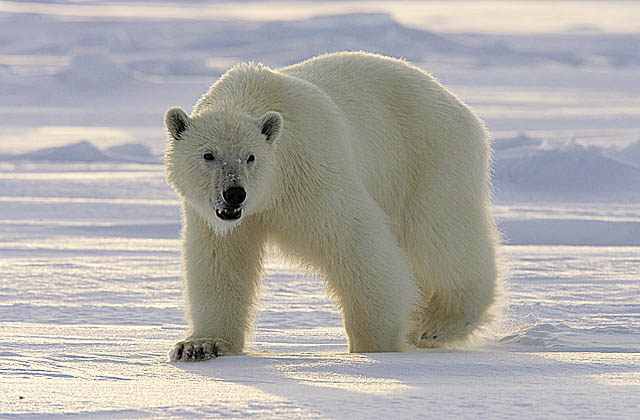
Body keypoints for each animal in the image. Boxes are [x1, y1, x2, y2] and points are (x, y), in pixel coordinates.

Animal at [164, 51, 500, 360]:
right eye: (208, 155)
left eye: (250, 157)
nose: (235, 193)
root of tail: (460, 105)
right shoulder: (218, 218)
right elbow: (221, 263)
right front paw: (201, 345)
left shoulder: (313, 175)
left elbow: (358, 246)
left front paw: (376, 347)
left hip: (430, 158)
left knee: (440, 238)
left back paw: (438, 324)